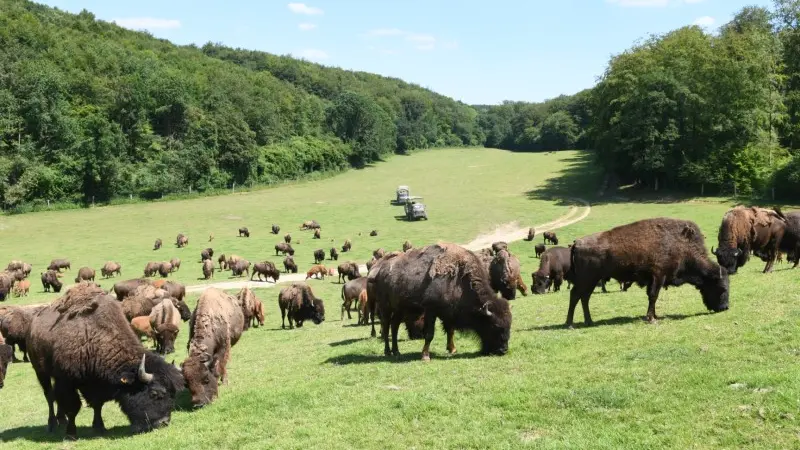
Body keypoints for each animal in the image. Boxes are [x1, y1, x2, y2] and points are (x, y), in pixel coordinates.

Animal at [28, 284, 184, 440]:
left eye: (173, 394)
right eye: (154, 393)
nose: (163, 422)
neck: (93, 336)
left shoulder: (96, 384)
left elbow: (97, 405)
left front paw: (99, 428)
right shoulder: (67, 382)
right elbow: (73, 408)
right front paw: (71, 434)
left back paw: (61, 420)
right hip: (41, 372)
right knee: (49, 396)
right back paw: (52, 424)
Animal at [368, 243, 512, 362]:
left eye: (509, 325)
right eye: (495, 326)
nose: (503, 350)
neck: (459, 280)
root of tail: (380, 271)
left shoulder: (448, 313)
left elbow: (450, 330)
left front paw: (452, 349)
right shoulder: (431, 311)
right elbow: (430, 334)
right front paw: (425, 356)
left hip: (400, 309)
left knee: (394, 326)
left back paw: (397, 351)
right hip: (385, 307)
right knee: (386, 326)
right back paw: (388, 352)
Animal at [564, 218, 728, 326]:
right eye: (722, 288)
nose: (725, 308)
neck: (682, 244)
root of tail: (576, 243)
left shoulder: (653, 279)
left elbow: (652, 297)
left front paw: (654, 315)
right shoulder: (659, 276)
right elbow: (653, 296)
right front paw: (651, 319)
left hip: (591, 281)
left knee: (584, 297)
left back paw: (588, 321)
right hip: (587, 280)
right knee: (576, 295)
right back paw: (570, 324)